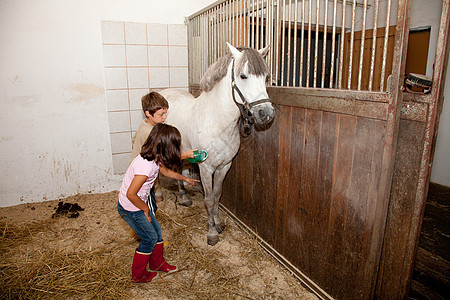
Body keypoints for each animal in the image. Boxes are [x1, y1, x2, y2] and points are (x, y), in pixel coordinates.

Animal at [162, 43, 274, 245]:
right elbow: (208, 199)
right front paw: (212, 232)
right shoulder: (206, 168)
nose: (266, 113)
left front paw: (218, 223)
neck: (216, 122)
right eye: (243, 76)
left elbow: (216, 195)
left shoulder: (224, 166)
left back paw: (184, 197)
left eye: (265, 77)